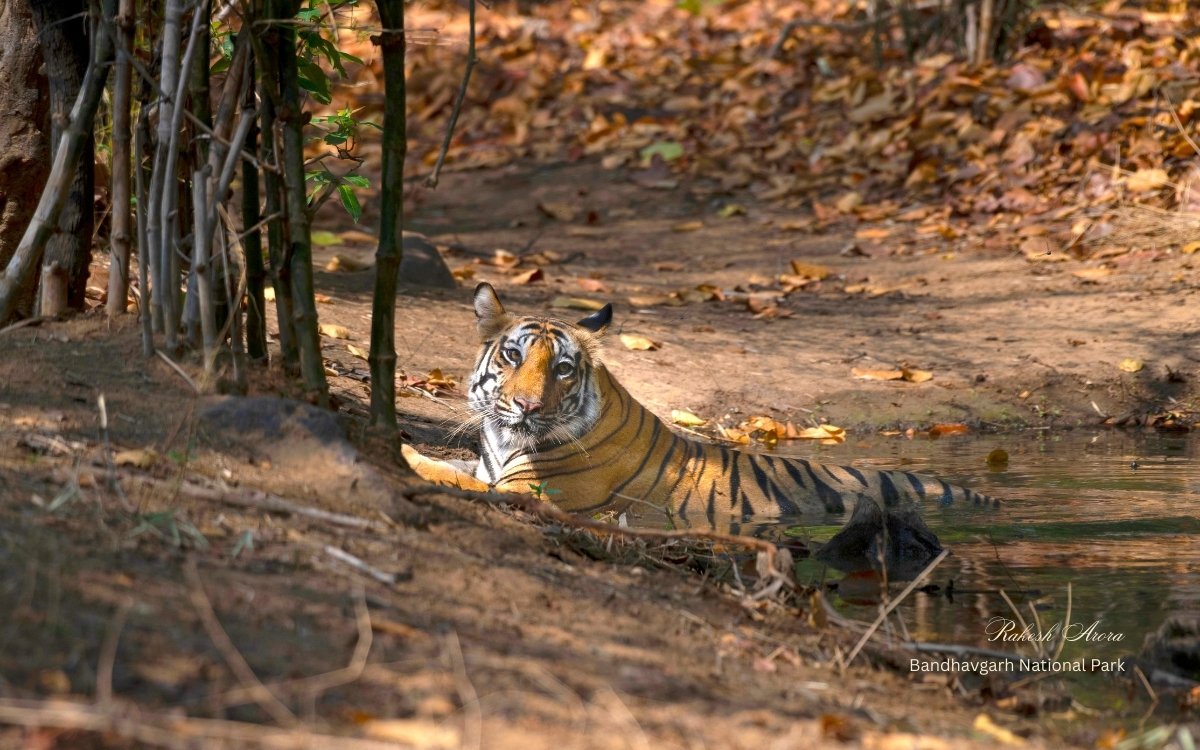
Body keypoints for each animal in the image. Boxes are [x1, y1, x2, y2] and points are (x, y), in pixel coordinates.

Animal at [401, 283, 996, 533]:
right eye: (513, 354)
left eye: (563, 369)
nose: (526, 406)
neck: (505, 443)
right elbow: (452, 466)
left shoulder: (532, 493)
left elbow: (449, 477)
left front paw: (405, 456)